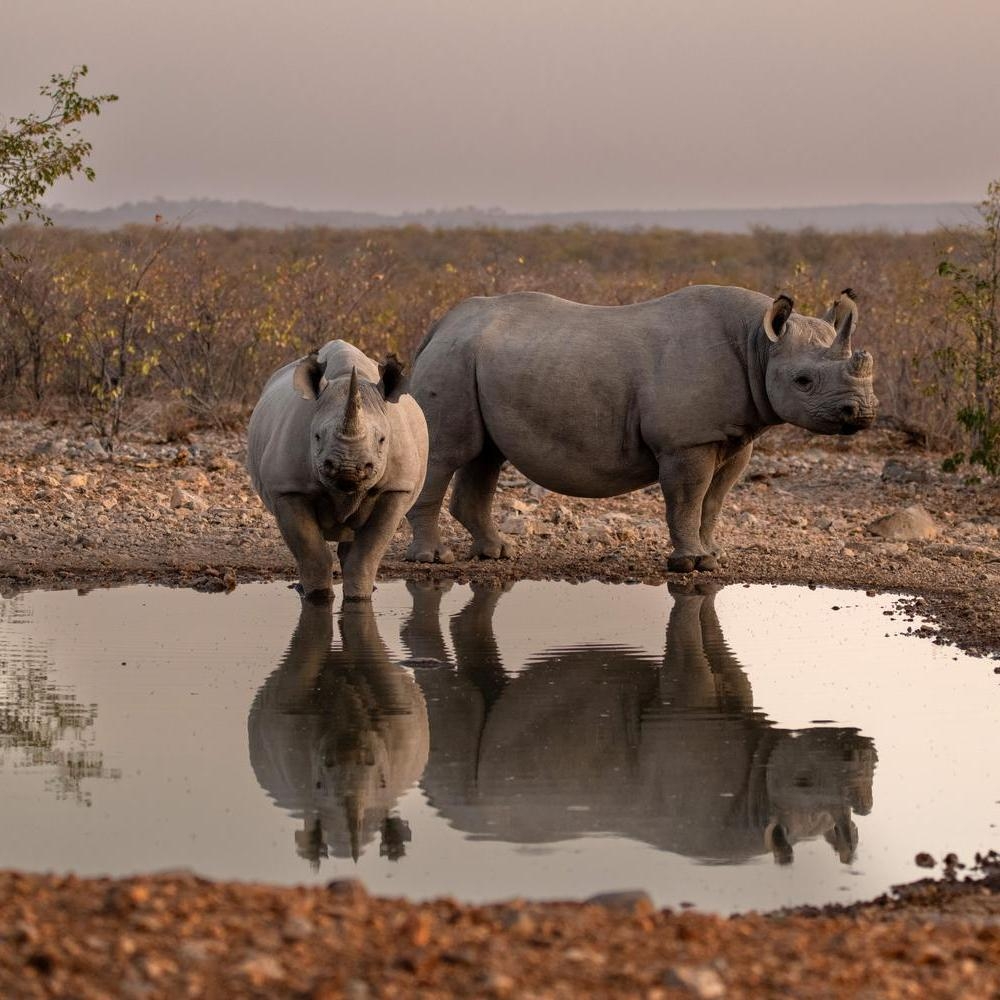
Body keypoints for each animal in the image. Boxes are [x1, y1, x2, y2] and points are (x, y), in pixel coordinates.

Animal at [247, 341, 428, 600]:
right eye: (316, 437)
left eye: (382, 440)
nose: (348, 469)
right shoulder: (288, 489)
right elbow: (312, 553)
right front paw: (317, 597)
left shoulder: (396, 489)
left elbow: (366, 554)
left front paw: (359, 597)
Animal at [404, 285, 877, 571]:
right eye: (803, 381)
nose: (863, 413)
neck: (758, 344)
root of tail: (441, 325)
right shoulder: (687, 441)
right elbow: (688, 500)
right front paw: (689, 563)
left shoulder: (734, 436)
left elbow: (714, 502)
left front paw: (713, 556)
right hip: (454, 358)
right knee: (446, 452)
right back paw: (433, 559)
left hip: (473, 359)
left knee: (485, 456)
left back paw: (497, 554)